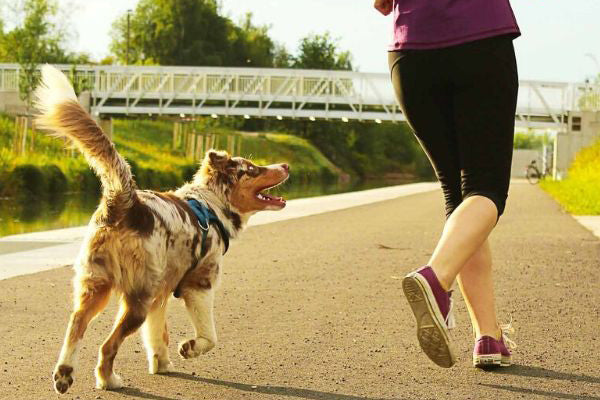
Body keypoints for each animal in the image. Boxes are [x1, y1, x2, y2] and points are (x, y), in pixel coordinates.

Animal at [35, 65, 290, 394]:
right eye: (253, 169)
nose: (286, 165)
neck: (212, 204)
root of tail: (125, 202)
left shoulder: (162, 293)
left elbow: (157, 336)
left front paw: (162, 364)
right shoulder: (199, 283)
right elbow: (209, 336)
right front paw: (189, 348)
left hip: (96, 284)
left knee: (76, 323)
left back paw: (64, 374)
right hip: (136, 298)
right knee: (107, 345)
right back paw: (107, 380)